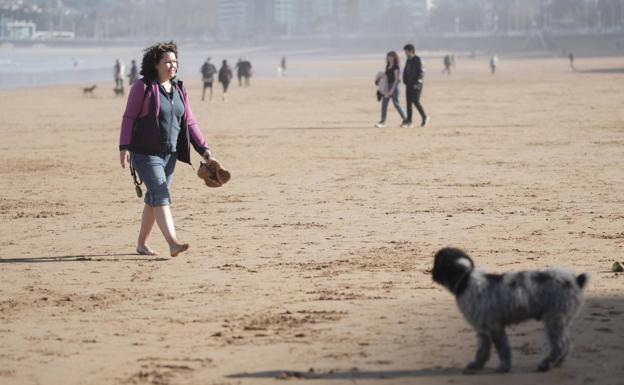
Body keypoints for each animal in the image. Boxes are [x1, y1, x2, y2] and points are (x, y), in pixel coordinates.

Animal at [432, 246, 588, 372]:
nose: (430, 272)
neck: (465, 280)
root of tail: (576, 280)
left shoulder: (494, 327)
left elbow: (503, 349)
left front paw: (503, 367)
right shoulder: (483, 330)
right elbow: (483, 351)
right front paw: (477, 364)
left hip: (553, 320)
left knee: (559, 346)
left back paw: (545, 365)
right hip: (560, 321)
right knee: (566, 344)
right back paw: (557, 363)